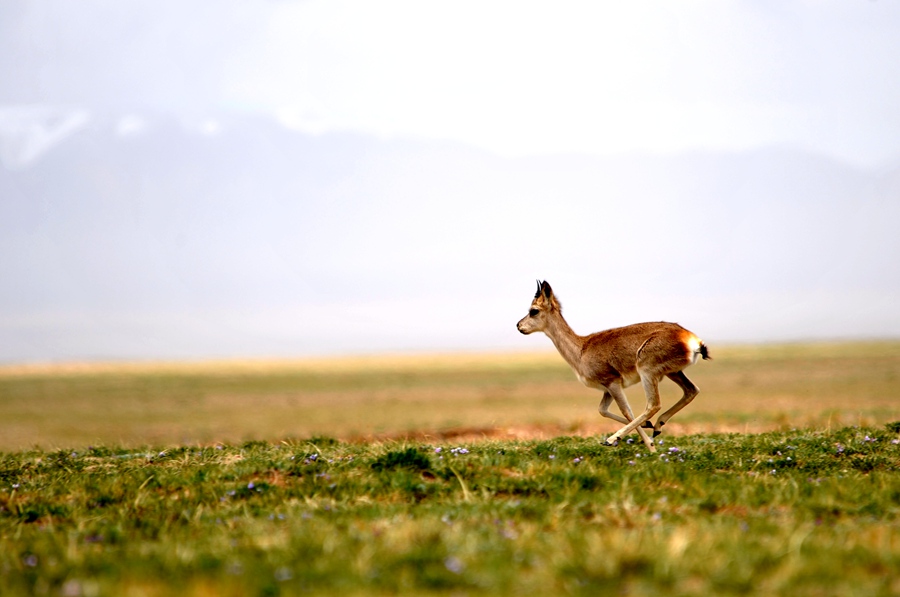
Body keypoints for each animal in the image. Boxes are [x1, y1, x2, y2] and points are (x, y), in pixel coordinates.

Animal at [516, 280, 712, 452]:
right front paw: (647, 429)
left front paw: (650, 448)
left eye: (534, 310)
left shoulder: (613, 383)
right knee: (691, 390)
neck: (582, 348)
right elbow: (603, 410)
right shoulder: (606, 389)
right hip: (673, 373)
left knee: (654, 405)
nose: (518, 325)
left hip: (648, 373)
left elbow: (627, 411)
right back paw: (656, 426)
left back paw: (614, 439)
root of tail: (691, 339)